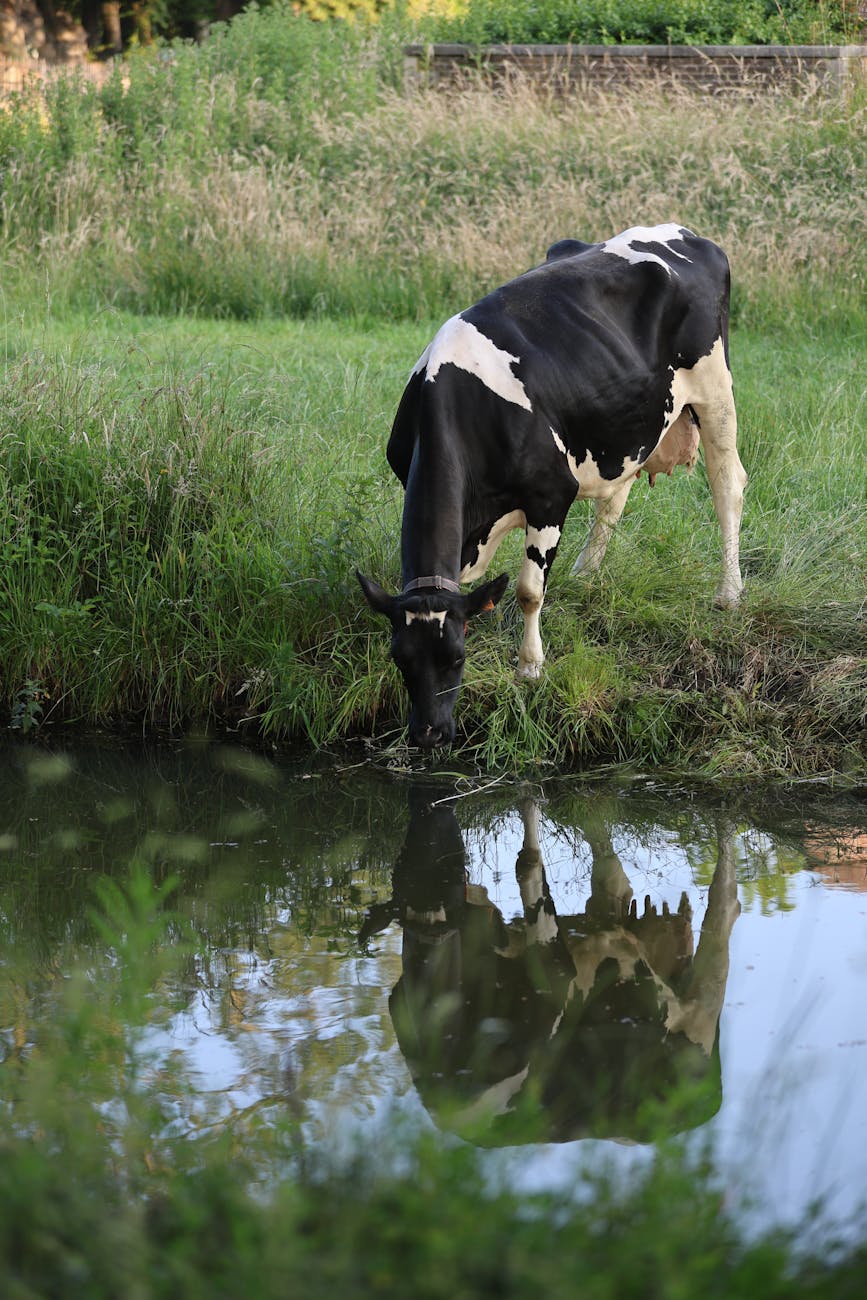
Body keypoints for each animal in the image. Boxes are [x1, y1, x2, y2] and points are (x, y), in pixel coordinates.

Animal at [357, 224, 747, 749]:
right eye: (400, 658)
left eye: (456, 657)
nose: (429, 733)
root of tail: (683, 231)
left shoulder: (550, 496)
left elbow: (528, 591)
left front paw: (530, 669)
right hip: (622, 423)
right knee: (616, 496)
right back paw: (586, 572)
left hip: (715, 391)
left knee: (728, 486)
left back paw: (729, 592)